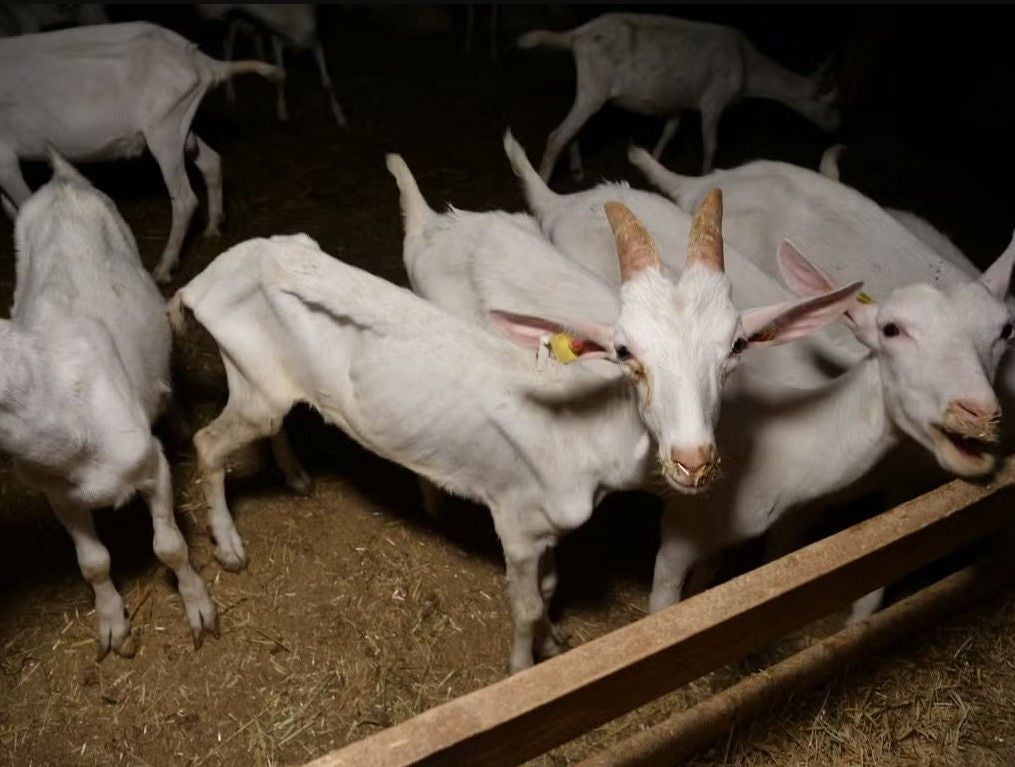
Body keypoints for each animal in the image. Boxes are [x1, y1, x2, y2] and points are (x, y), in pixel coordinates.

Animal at [0, 22, 283, 283]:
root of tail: (198, 60)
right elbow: (14, 212)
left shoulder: (5, 158)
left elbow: (25, 204)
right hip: (180, 128)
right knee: (211, 161)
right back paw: (213, 228)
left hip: (164, 131)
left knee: (185, 199)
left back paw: (164, 267)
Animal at [1, 153, 215, 658]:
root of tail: (61, 179)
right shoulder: (60, 493)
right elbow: (93, 562)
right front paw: (113, 625)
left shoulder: (151, 465)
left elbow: (171, 546)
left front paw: (198, 606)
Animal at [518, 12, 838, 180]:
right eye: (832, 104)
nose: (836, 127)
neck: (747, 69)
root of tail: (578, 34)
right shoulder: (713, 100)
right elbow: (711, 144)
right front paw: (706, 175)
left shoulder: (679, 101)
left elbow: (670, 130)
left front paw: (654, 162)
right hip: (594, 86)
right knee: (556, 135)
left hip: (593, 90)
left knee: (576, 130)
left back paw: (577, 171)